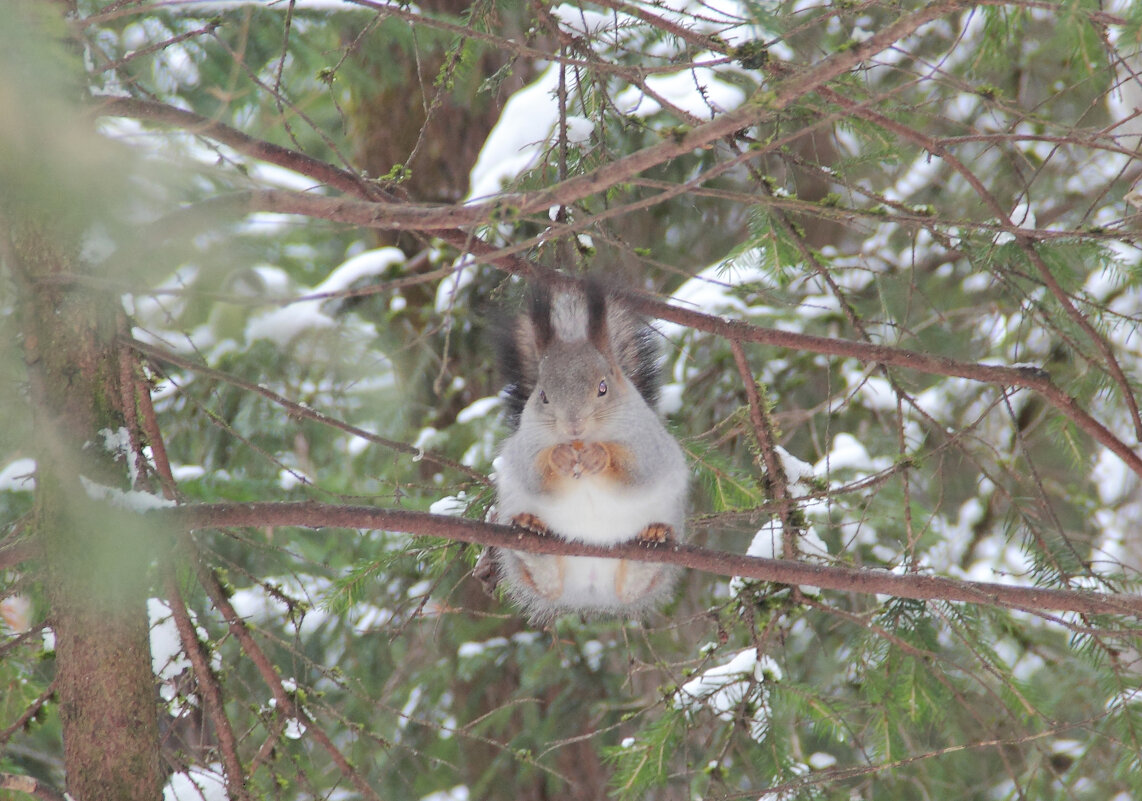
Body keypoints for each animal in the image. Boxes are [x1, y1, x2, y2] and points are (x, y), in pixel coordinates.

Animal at [481, 277, 685, 621]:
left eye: (603, 387)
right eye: (543, 395)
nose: (573, 427)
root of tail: (590, 591)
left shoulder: (648, 445)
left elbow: (634, 472)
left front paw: (599, 456)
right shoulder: (524, 449)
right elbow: (535, 474)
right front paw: (559, 457)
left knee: (633, 587)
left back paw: (652, 539)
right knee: (546, 582)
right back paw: (530, 533)